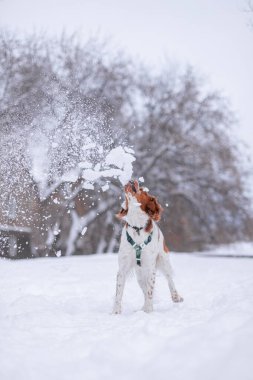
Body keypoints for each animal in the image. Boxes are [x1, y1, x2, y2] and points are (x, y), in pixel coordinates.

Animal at [112, 180, 184, 314]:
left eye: (143, 190)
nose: (132, 180)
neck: (137, 227)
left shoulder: (150, 267)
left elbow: (150, 290)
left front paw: (149, 311)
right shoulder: (123, 268)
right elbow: (119, 292)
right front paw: (116, 312)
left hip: (163, 260)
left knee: (169, 279)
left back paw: (176, 297)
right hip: (140, 274)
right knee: (144, 289)